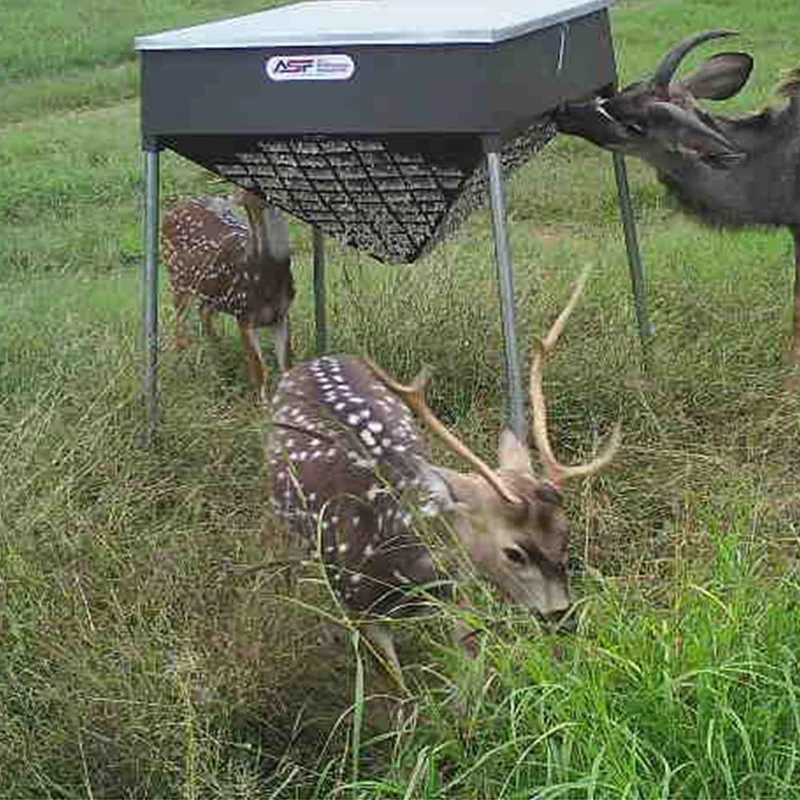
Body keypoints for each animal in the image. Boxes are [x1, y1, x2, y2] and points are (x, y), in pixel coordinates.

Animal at [161, 187, 296, 400]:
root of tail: (175, 206)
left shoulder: (282, 314)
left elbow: (286, 366)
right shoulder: (243, 315)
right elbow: (260, 370)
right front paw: (263, 403)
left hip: (211, 293)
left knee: (203, 311)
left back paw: (221, 356)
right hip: (178, 281)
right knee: (179, 330)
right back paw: (184, 368)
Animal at [268, 268, 620, 680]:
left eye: (566, 533)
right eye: (514, 553)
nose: (563, 618)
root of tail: (312, 360)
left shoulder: (458, 587)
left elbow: (469, 672)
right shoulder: (355, 602)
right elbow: (397, 685)